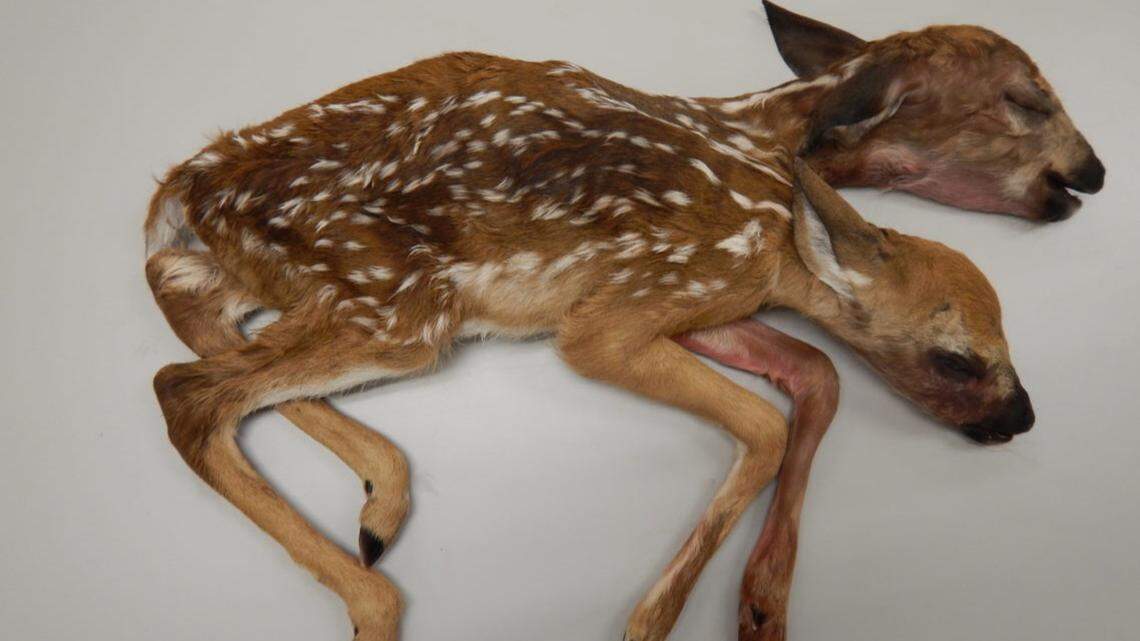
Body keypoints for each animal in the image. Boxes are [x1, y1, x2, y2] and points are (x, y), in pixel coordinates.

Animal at [145, 3, 1100, 640]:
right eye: (1026, 98)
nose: (1092, 171)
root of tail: (181, 192)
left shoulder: (691, 301)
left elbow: (816, 372)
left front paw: (763, 605)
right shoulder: (617, 314)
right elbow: (767, 418)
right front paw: (654, 620)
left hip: (294, 287)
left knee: (196, 327)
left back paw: (381, 502)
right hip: (394, 304)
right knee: (185, 388)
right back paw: (373, 596)